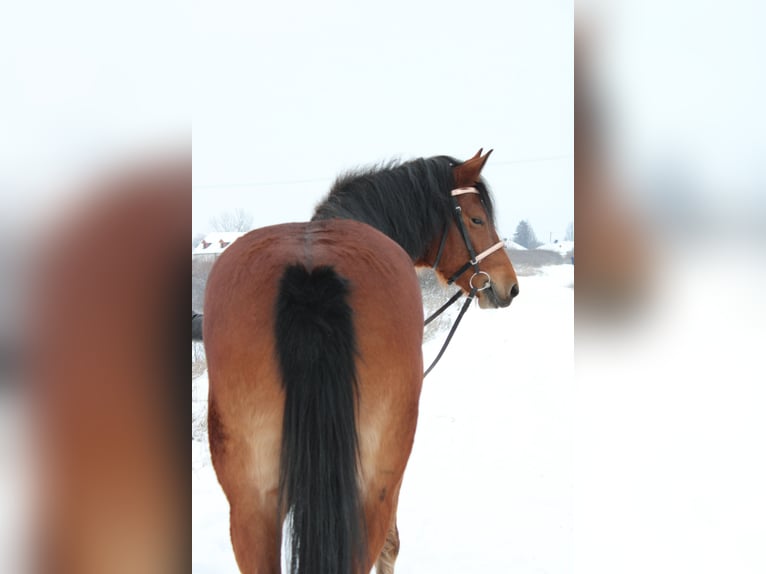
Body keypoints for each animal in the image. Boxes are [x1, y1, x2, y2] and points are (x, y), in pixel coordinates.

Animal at [202, 149, 519, 574]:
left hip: (251, 502)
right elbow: (391, 545)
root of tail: (310, 273)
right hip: (372, 484)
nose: (509, 286)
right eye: (477, 219)